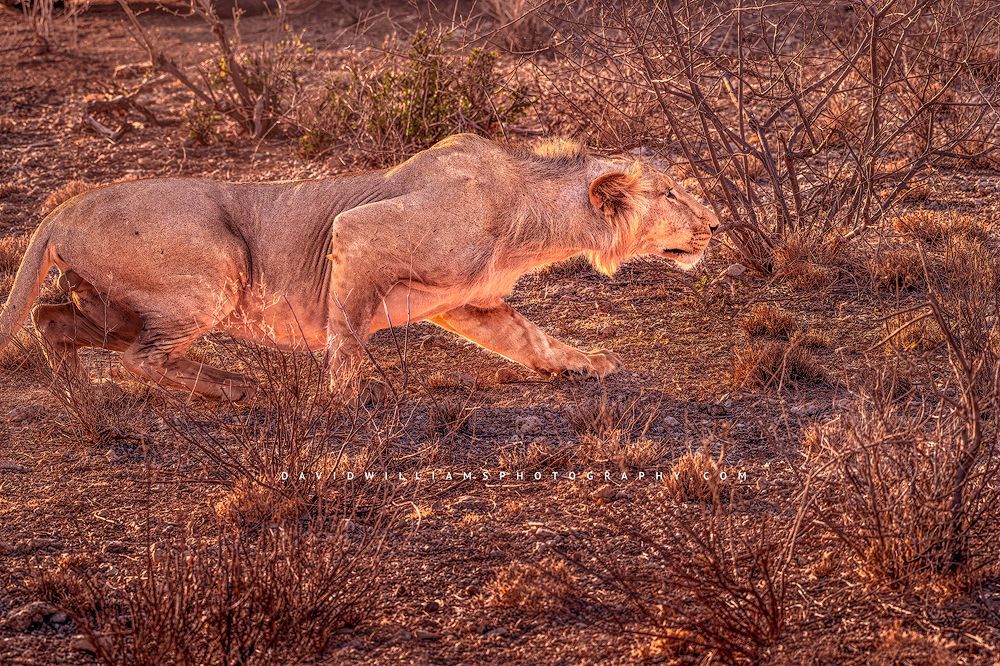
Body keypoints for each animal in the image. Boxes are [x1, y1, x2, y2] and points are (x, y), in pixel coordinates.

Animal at [0, 134, 718, 399]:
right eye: (672, 193)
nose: (715, 226)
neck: (530, 218)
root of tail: (61, 212)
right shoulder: (358, 232)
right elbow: (345, 330)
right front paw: (341, 399)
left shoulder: (471, 303)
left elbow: (533, 340)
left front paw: (590, 364)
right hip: (215, 269)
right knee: (139, 358)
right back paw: (236, 387)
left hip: (115, 304)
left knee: (52, 318)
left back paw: (78, 393)